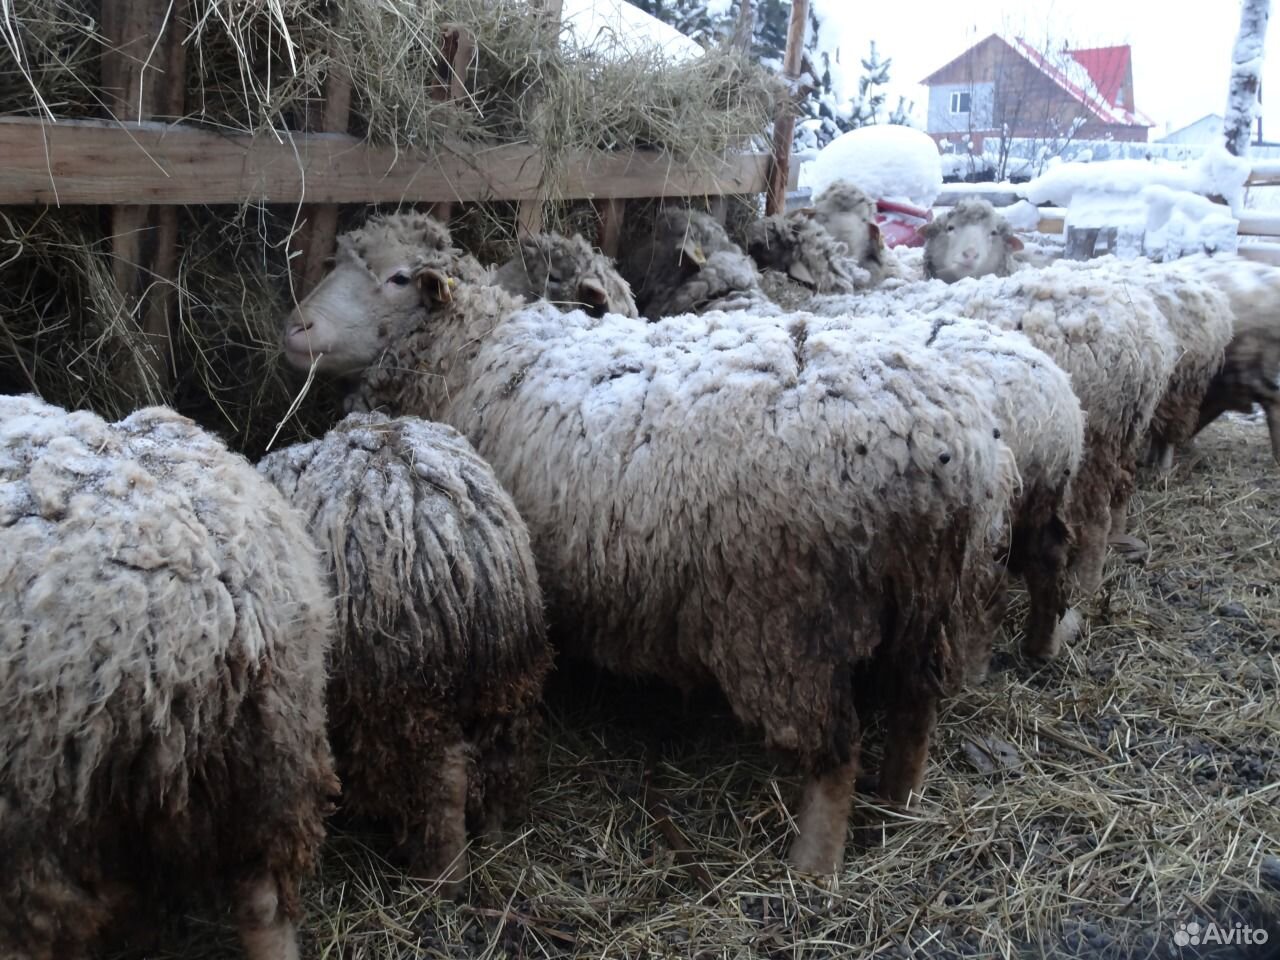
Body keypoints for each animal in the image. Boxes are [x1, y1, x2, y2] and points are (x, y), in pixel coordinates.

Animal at [256, 414, 550, 896]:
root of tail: (459, 553)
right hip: (507, 670)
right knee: (500, 754)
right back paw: (493, 836)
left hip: (405, 692)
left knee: (444, 783)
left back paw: (442, 881)